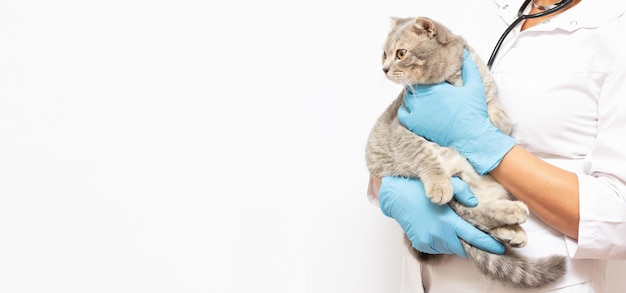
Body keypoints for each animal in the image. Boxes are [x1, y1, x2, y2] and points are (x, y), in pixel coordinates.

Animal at [366, 16, 564, 288]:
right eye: (383, 55)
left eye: (400, 53)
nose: (384, 69)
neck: (451, 81)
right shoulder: (401, 130)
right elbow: (424, 155)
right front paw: (438, 182)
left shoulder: (490, 98)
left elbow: (497, 117)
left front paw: (478, 127)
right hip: (444, 187)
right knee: (471, 214)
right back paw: (510, 218)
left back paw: (511, 228)